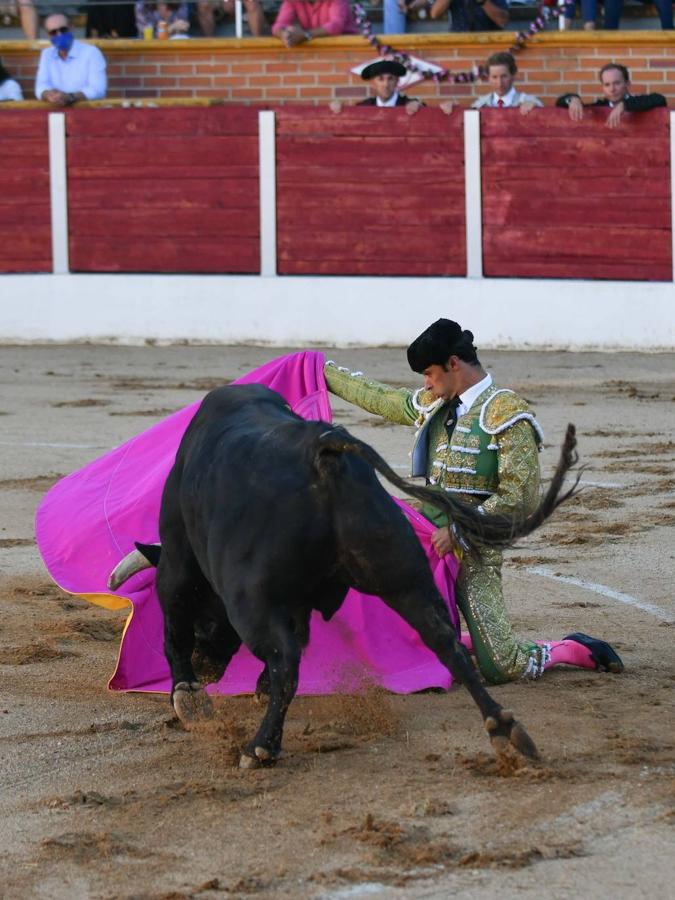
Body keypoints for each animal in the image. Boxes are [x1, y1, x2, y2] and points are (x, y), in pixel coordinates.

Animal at [119, 384, 580, 768]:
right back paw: (504, 729)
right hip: (402, 573)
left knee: (285, 659)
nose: (209, 669)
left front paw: (187, 695)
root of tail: (323, 452)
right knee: (445, 640)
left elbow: (174, 621)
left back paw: (260, 747)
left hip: (248, 596)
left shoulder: (178, 556)